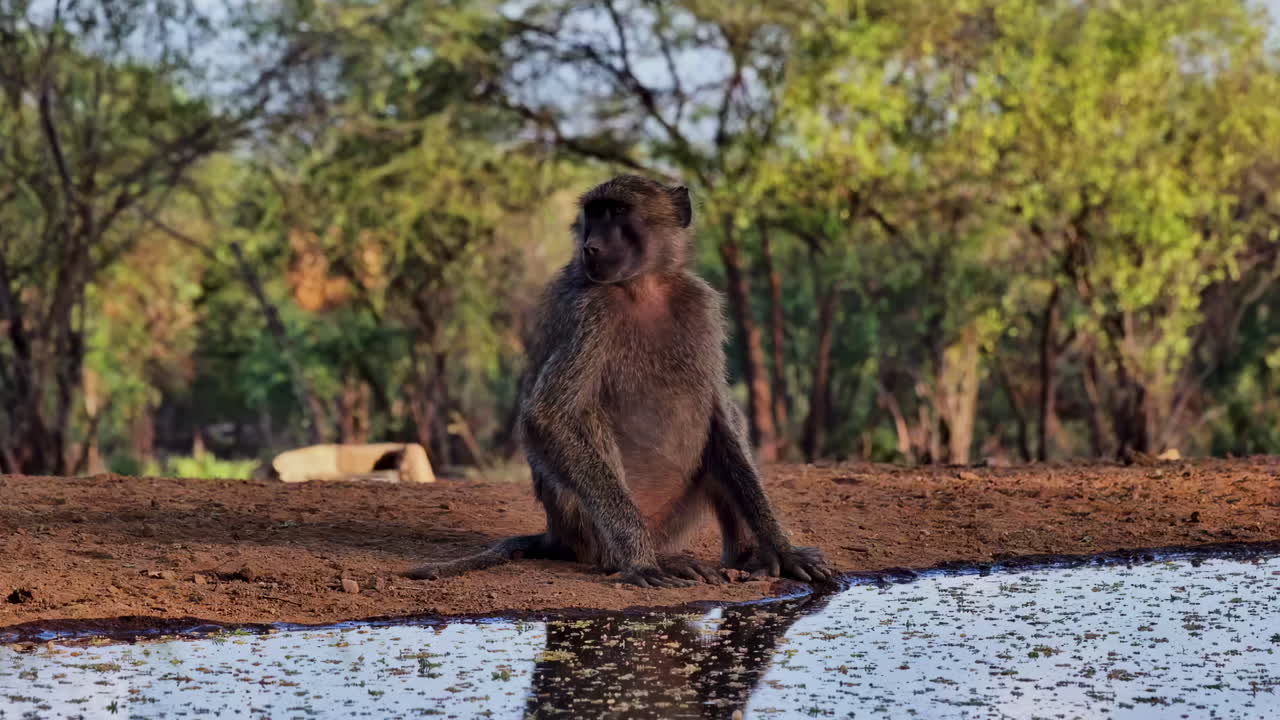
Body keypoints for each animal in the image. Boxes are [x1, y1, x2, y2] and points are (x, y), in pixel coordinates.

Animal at [405, 175, 830, 588]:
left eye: (618, 212)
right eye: (594, 214)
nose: (591, 247)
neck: (644, 286)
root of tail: (554, 533)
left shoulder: (701, 304)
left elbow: (721, 415)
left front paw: (782, 550)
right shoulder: (590, 313)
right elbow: (547, 416)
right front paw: (639, 562)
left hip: (675, 520)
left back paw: (744, 556)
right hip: (579, 521)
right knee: (587, 417)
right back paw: (639, 559)